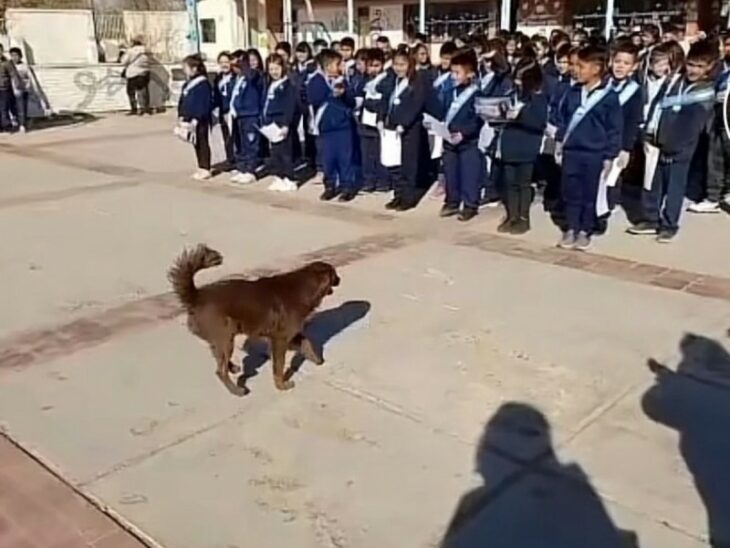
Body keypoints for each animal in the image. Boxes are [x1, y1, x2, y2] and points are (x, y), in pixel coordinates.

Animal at [169, 244, 340, 394]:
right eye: (334, 274)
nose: (339, 279)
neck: (304, 286)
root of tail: (196, 297)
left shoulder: (290, 334)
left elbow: (307, 342)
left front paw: (317, 359)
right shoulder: (280, 339)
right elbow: (279, 367)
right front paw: (281, 385)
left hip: (221, 337)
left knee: (218, 357)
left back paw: (232, 368)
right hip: (225, 337)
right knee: (220, 371)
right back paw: (237, 390)